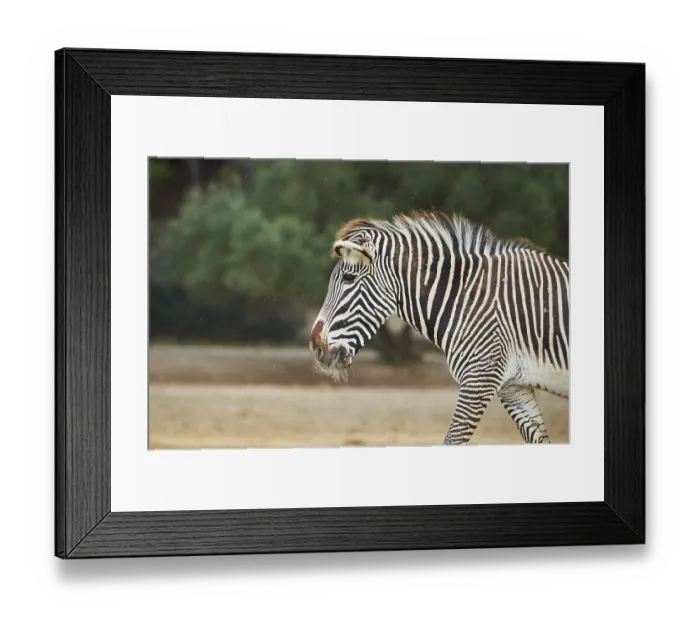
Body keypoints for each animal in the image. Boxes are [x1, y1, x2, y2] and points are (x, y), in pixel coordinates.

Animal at [309, 209, 569, 446]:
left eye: (349, 279)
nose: (316, 347)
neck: (466, 299)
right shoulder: (513, 387)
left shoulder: (478, 379)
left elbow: (450, 442)